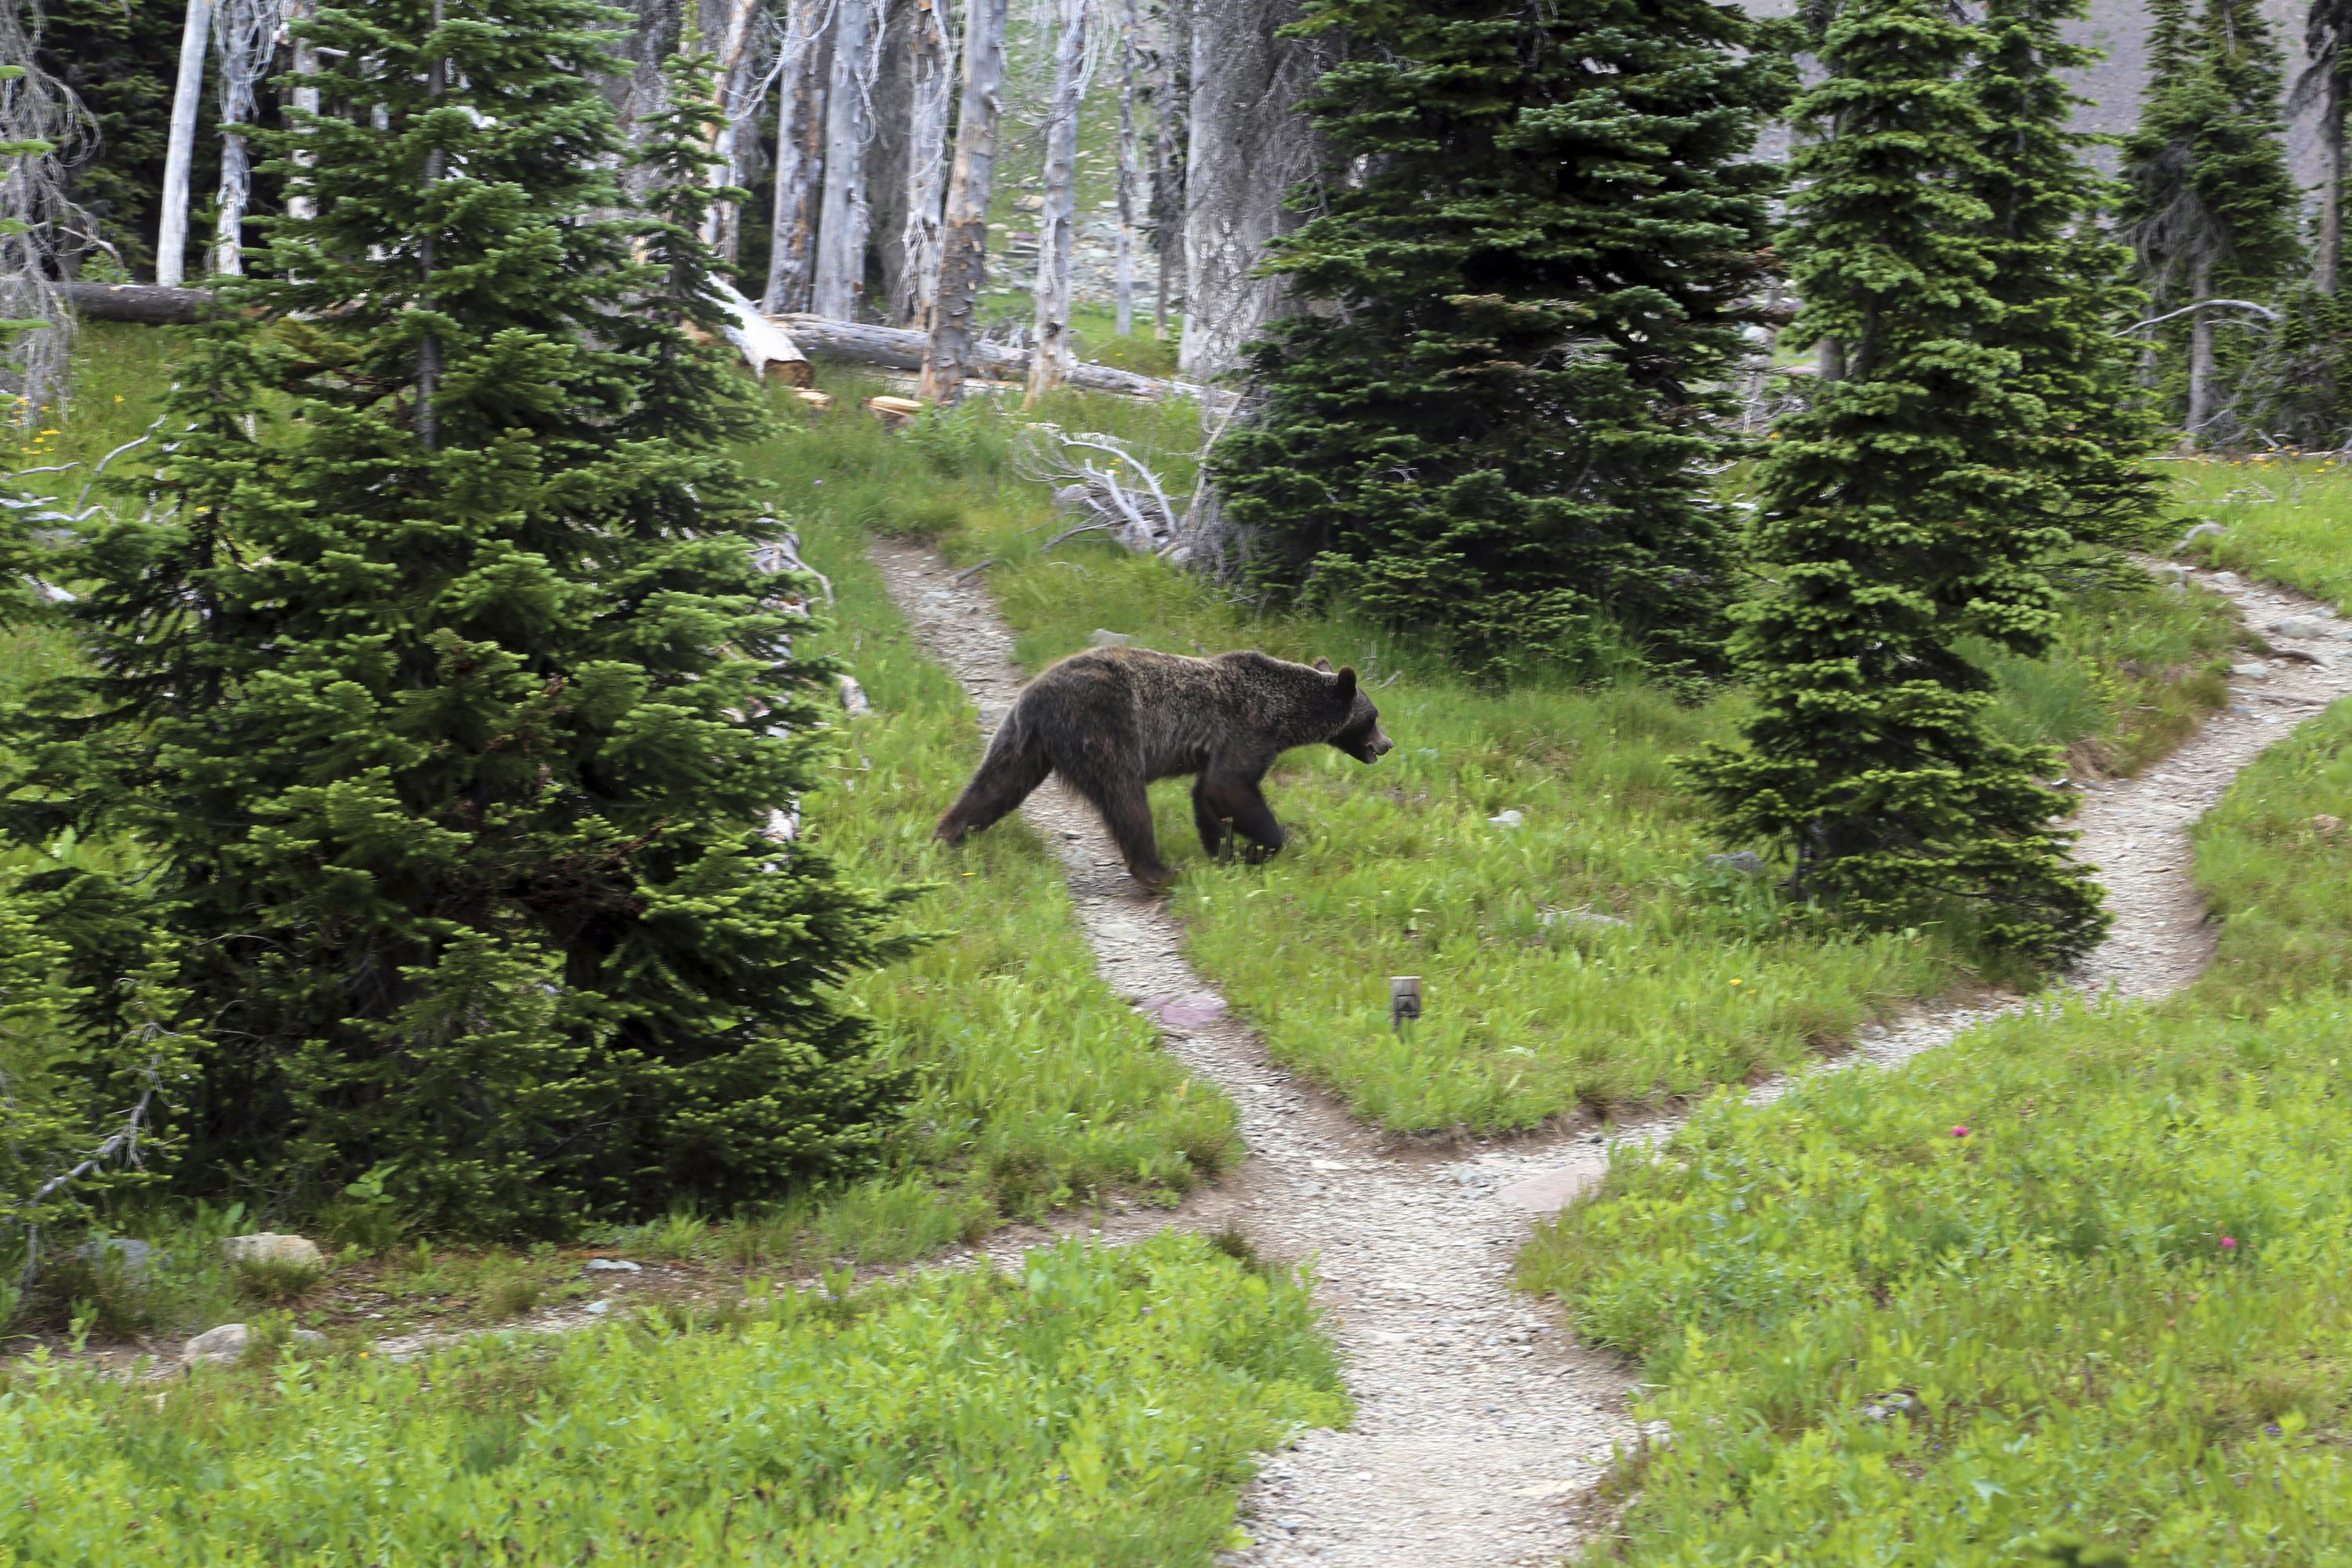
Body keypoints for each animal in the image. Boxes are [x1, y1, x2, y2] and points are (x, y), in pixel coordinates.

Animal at [931, 648, 1383, 893]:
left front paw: (1225, 853)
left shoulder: (1220, 747)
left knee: (994, 786)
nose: (1387, 744)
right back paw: (1159, 871)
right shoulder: (1248, 730)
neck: (1286, 715)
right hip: (1106, 726)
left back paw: (946, 837)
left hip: (1023, 743)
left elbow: (1207, 795)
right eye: (1375, 716)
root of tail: (1036, 698)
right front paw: (1263, 846)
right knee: (1127, 800)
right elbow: (1231, 787)